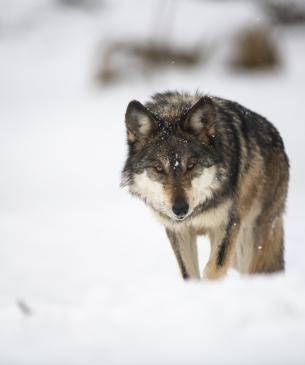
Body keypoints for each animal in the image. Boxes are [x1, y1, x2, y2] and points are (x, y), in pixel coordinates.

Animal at [120, 91, 288, 278]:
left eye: (191, 165)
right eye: (158, 168)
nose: (180, 209)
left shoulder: (228, 225)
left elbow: (213, 270)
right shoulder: (179, 231)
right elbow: (189, 274)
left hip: (250, 242)